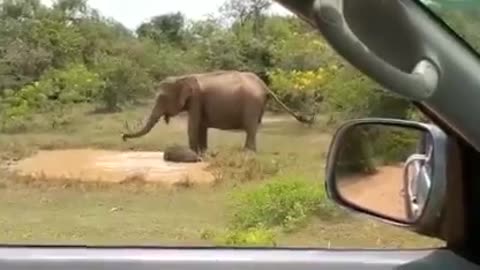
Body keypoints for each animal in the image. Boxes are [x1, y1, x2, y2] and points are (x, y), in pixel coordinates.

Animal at [121, 69, 316, 154]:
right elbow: (201, 126)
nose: (123, 137)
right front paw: (203, 153)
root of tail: (264, 86)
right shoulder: (199, 102)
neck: (183, 77)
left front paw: (195, 154)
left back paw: (247, 153)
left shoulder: (196, 100)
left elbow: (193, 126)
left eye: (161, 98)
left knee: (251, 127)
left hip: (251, 104)